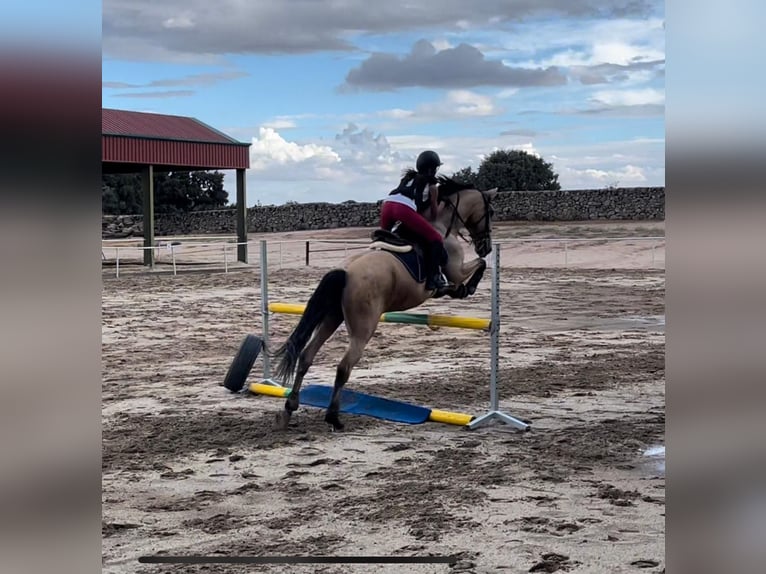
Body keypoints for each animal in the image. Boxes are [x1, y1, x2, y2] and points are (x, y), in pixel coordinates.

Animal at [270, 176, 498, 432]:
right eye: (490, 211)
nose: (487, 247)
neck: (442, 223)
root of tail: (345, 271)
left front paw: (460, 288)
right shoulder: (456, 270)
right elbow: (478, 265)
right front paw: (468, 287)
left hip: (332, 317)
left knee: (306, 356)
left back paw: (289, 409)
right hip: (364, 327)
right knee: (343, 367)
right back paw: (333, 417)